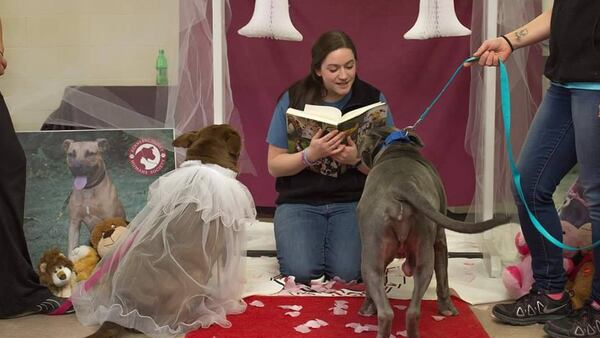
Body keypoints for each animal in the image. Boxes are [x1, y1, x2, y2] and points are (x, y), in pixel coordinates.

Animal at [356, 127, 506, 338]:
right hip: (423, 252)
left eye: (361, 132)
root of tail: (402, 184)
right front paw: (447, 308)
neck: (397, 147)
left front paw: (367, 308)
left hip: (377, 258)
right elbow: (443, 278)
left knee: (391, 312)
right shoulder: (441, 240)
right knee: (411, 310)